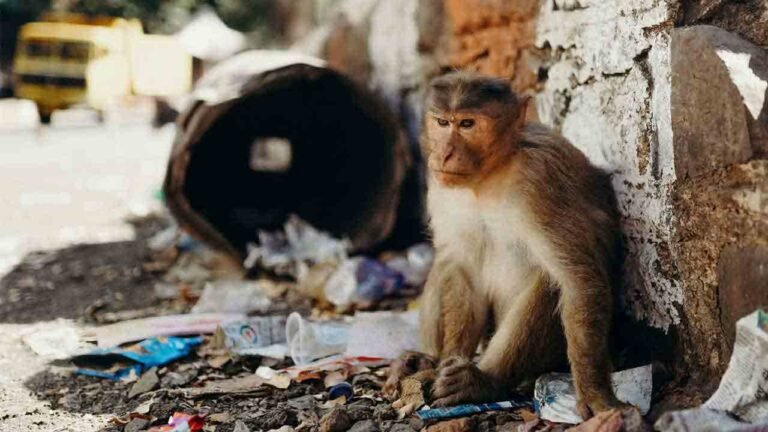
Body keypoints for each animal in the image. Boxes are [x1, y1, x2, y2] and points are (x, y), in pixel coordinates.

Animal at [403, 72, 627, 419]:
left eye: (467, 124)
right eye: (442, 122)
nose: (444, 154)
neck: (490, 175)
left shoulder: (540, 181)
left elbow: (578, 280)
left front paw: (593, 390)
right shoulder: (440, 185)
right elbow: (462, 266)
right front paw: (449, 359)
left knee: (549, 282)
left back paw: (484, 381)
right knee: (445, 264)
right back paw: (425, 363)